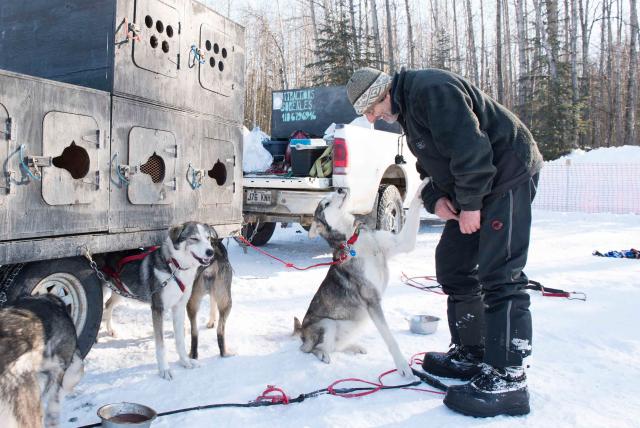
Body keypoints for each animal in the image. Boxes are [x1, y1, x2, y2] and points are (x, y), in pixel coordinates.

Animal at [99, 222, 215, 380]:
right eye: (194, 238)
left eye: (208, 238)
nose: (210, 252)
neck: (175, 267)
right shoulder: (158, 309)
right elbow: (161, 345)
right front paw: (164, 369)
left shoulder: (179, 307)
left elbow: (180, 340)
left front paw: (185, 361)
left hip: (121, 290)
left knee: (108, 304)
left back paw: (110, 330)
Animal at [296, 179, 430, 380]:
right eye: (326, 204)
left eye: (333, 193)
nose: (340, 188)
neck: (354, 238)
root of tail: (301, 333)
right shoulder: (372, 300)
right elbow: (390, 339)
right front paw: (402, 366)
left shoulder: (402, 243)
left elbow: (414, 205)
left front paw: (425, 183)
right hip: (327, 324)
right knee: (312, 349)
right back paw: (323, 355)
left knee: (336, 347)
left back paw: (354, 347)